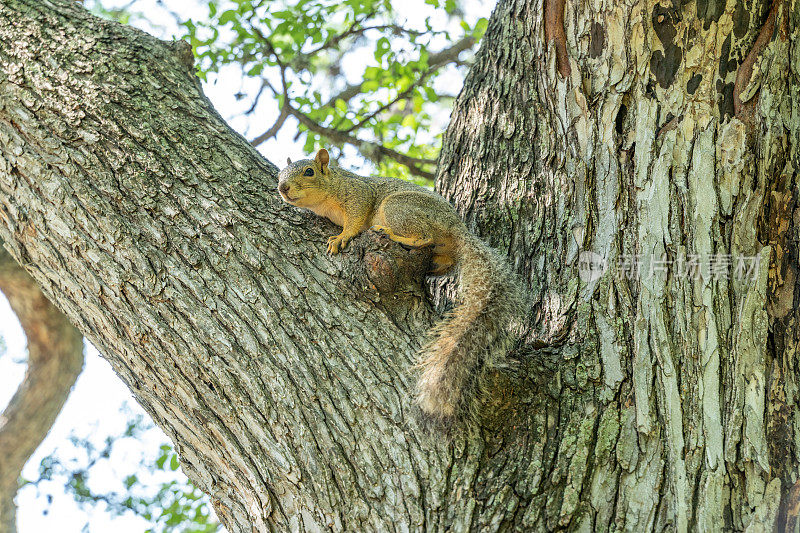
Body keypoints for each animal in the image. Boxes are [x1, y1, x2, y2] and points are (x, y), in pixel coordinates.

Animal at [278, 148, 520, 422]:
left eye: (309, 171)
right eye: (280, 174)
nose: (282, 187)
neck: (331, 188)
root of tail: (458, 228)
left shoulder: (358, 195)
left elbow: (355, 221)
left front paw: (341, 237)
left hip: (398, 207)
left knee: (423, 236)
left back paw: (394, 235)